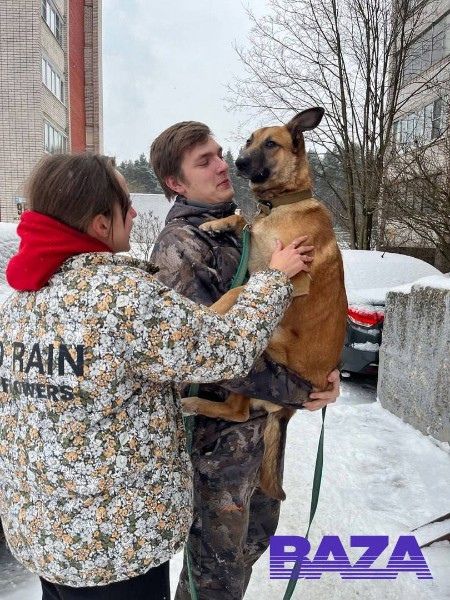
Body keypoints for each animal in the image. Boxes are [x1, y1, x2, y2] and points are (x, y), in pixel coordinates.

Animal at [181, 109, 346, 502]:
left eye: (272, 144)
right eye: (248, 140)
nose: (238, 163)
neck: (279, 204)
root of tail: (287, 411)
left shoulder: (290, 276)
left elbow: (240, 290)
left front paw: (216, 309)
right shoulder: (256, 231)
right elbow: (244, 218)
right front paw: (218, 221)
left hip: (266, 345)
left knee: (239, 412)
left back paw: (194, 403)